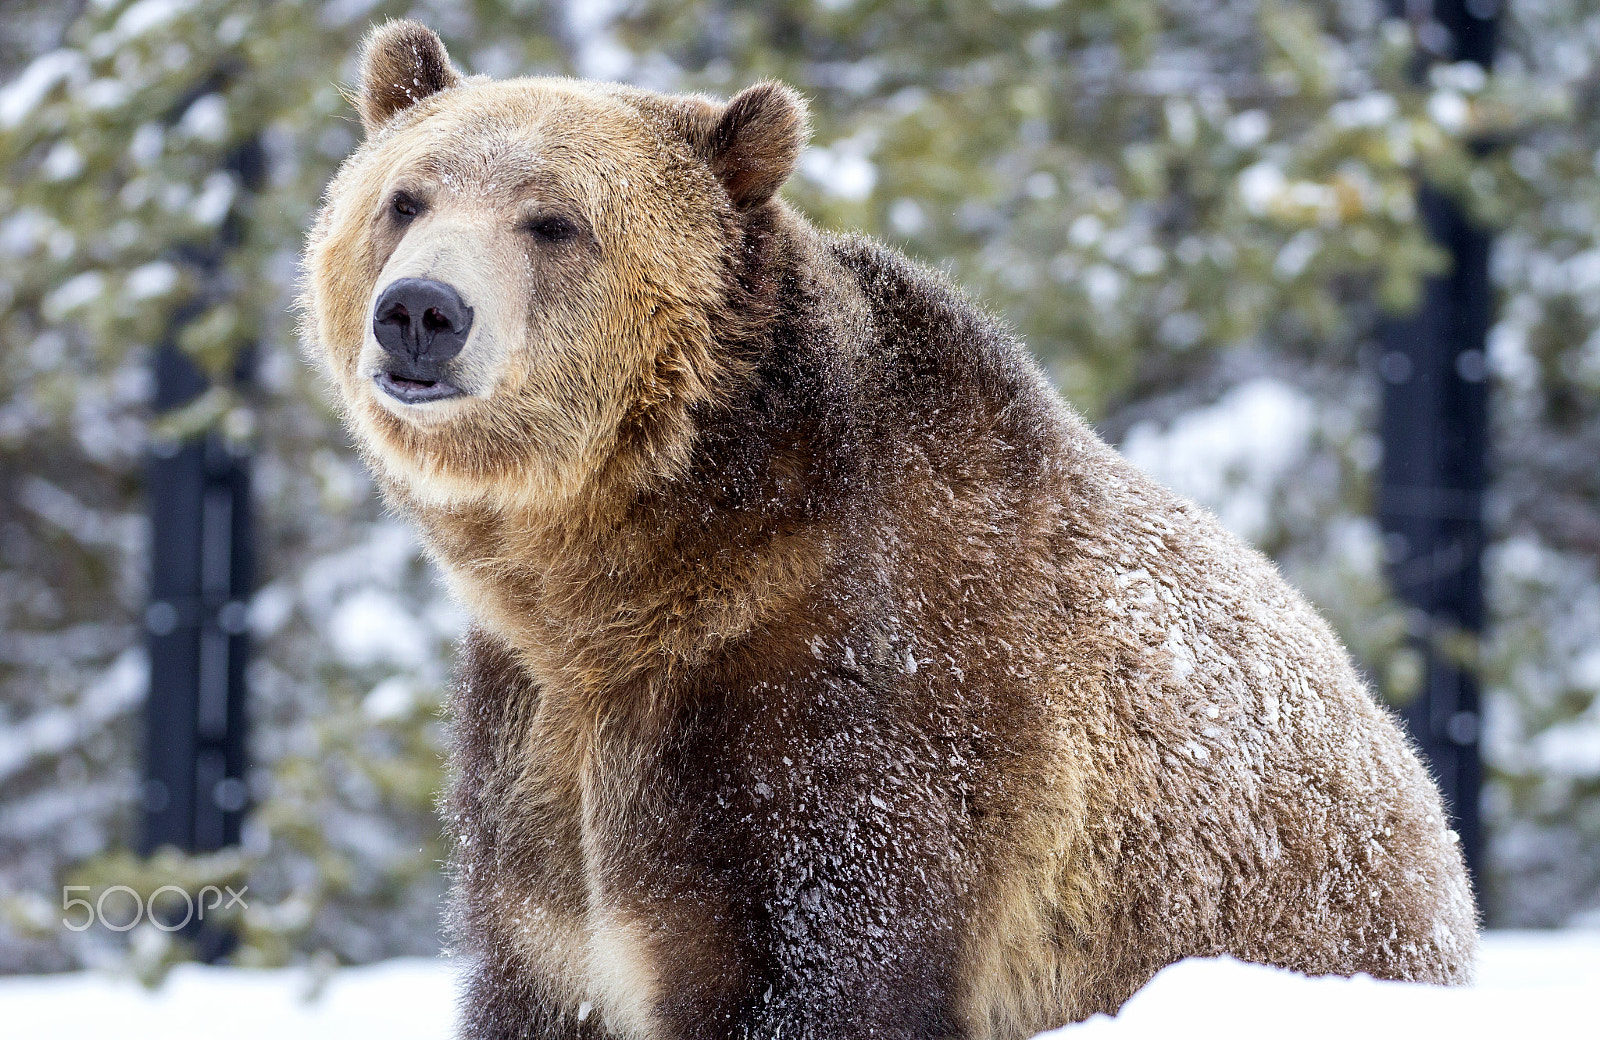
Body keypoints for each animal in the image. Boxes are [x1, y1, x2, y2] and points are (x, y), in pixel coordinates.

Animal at [300, 19, 1478, 1040]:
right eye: (405, 197)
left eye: (554, 220)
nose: (421, 311)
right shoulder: (537, 753)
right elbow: (544, 971)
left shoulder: (860, 705)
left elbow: (827, 962)